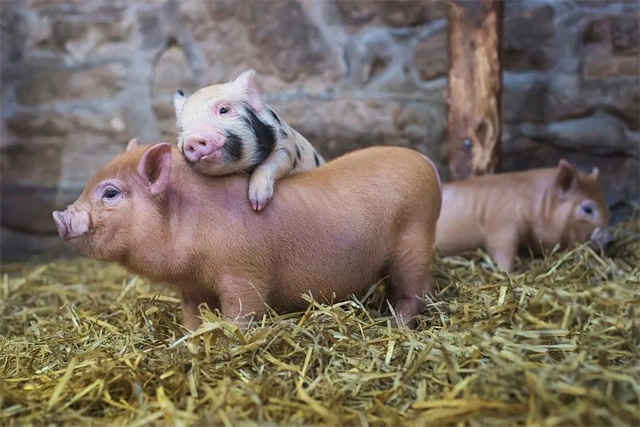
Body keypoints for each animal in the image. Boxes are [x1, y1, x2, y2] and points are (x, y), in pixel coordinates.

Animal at [52, 142, 442, 330]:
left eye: (110, 193)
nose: (60, 216)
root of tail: (425, 162)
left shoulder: (244, 273)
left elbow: (243, 311)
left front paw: (230, 336)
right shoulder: (191, 285)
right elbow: (192, 316)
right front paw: (192, 338)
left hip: (416, 240)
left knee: (413, 293)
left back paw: (395, 327)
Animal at [171, 69, 324, 211]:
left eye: (224, 110)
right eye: (182, 129)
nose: (193, 139)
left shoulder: (286, 144)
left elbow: (274, 163)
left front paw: (257, 205)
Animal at [438, 160, 612, 270]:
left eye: (604, 202)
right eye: (588, 209)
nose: (610, 238)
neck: (537, 205)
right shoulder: (501, 225)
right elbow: (502, 251)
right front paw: (511, 271)